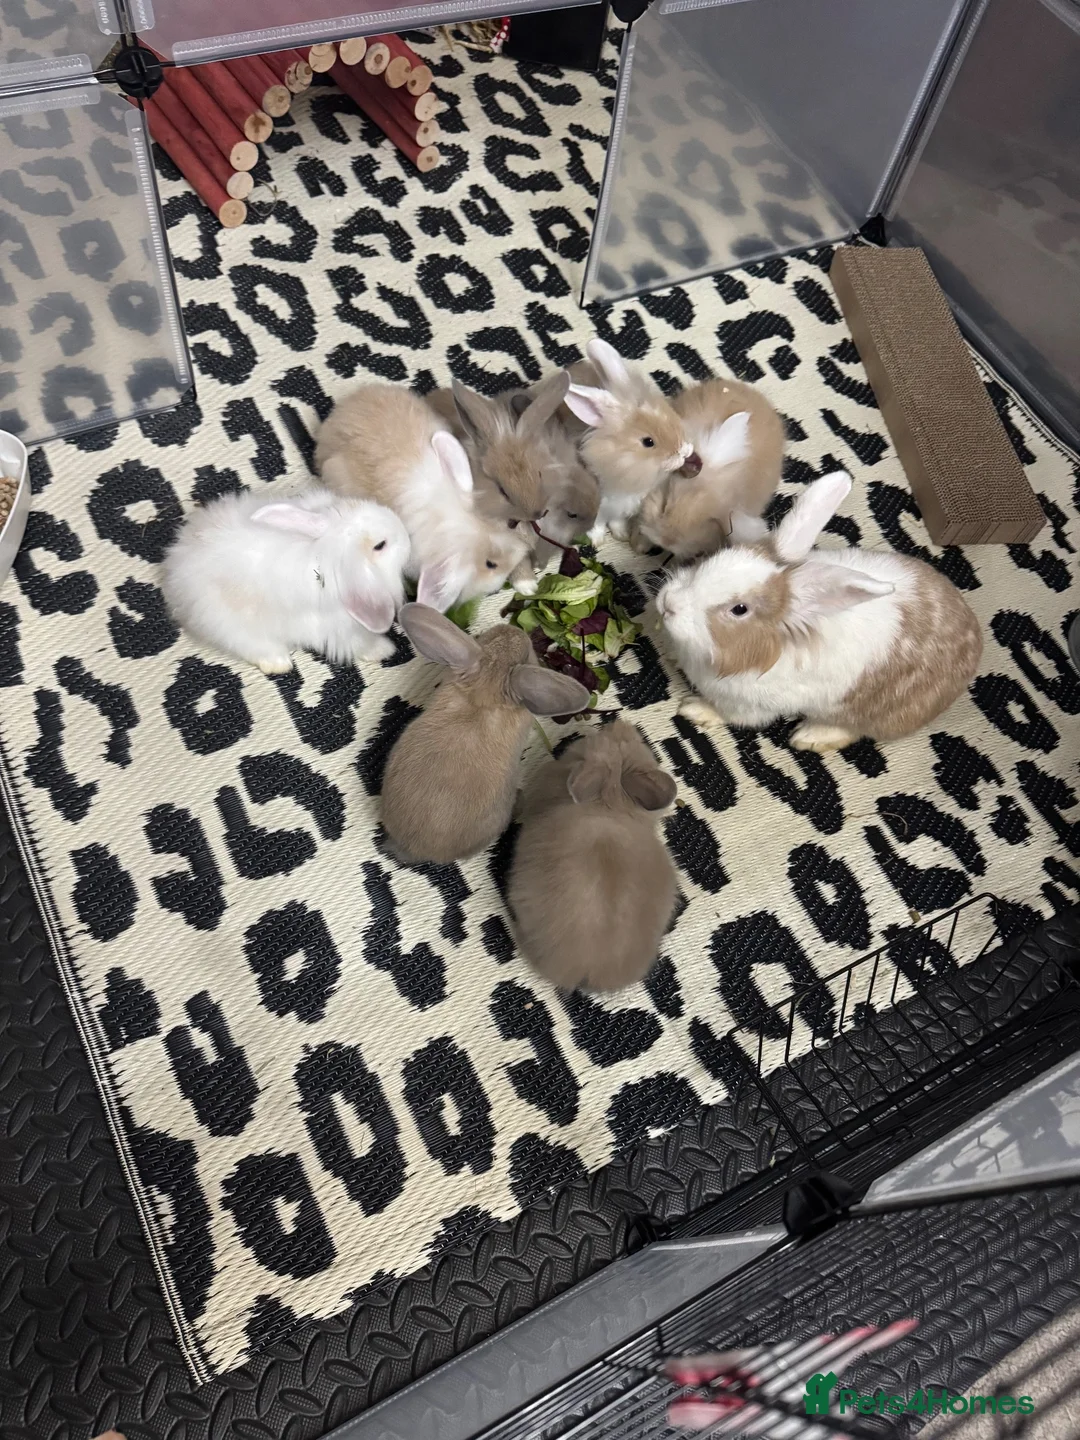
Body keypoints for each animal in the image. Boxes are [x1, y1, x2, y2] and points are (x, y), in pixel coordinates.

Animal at [160, 487, 410, 670]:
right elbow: (360, 643)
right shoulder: (341, 628)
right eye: (380, 545)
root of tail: (175, 570)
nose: (405, 532)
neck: (323, 552)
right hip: (230, 624)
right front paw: (385, 650)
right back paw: (279, 664)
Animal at [560, 338, 700, 542]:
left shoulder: (619, 508)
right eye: (648, 442)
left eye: (669, 417)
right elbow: (596, 524)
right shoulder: (599, 506)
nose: (684, 451)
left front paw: (621, 534)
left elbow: (616, 521)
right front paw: (596, 540)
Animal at [656, 470, 983, 751]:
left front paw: (694, 709)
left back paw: (809, 737)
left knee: (851, 730)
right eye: (718, 556)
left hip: (866, 715)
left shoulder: (751, 705)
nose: (668, 605)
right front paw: (671, 652)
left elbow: (731, 715)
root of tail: (975, 644)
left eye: (740, 609)